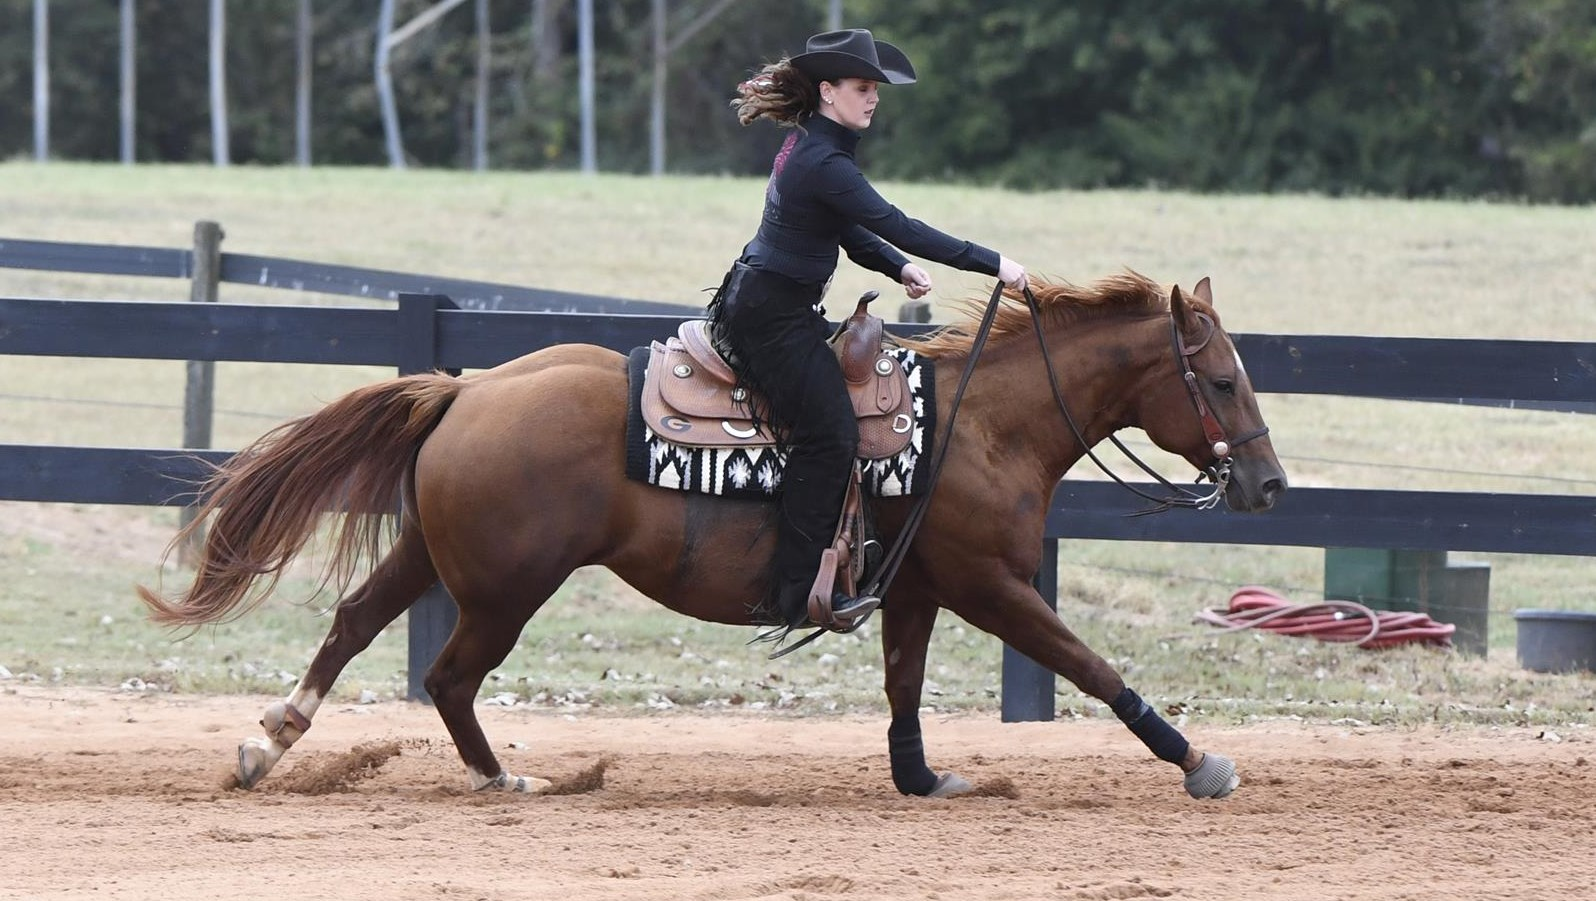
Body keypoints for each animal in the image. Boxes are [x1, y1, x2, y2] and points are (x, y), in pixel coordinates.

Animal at [134, 271, 1283, 797]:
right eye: (1225, 378)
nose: (1268, 482)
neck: (977, 424)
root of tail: (467, 389)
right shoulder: (993, 584)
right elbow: (1091, 666)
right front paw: (1200, 759)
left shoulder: (915, 590)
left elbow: (904, 686)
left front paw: (924, 779)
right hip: (506, 588)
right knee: (449, 675)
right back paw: (507, 777)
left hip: (434, 557)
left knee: (355, 622)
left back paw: (267, 741)